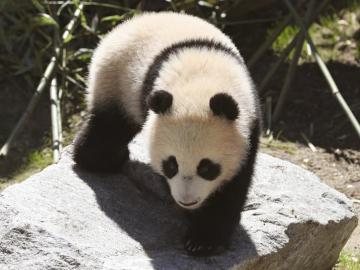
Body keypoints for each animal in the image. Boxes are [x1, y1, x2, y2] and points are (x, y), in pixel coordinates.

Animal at [74, 12, 262, 258]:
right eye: (171, 164)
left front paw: (204, 240)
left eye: (207, 167)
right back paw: (107, 159)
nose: (187, 201)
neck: (202, 82)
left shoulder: (249, 125)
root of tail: (125, 25)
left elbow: (233, 186)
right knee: (108, 127)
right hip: (116, 82)